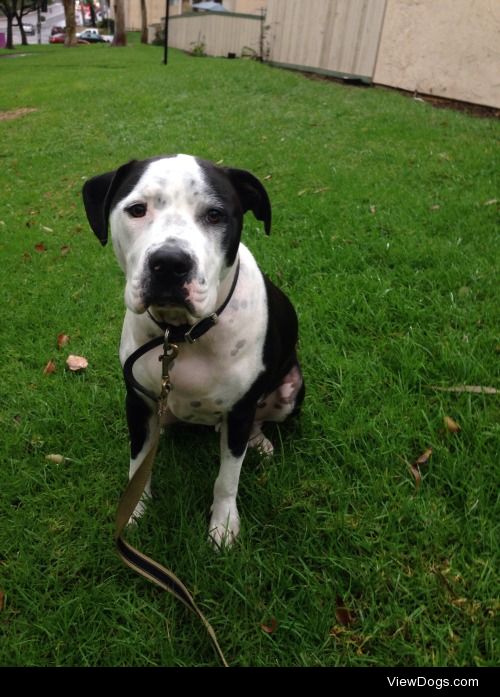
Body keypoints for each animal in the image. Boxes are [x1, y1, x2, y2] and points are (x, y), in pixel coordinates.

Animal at [83, 155, 302, 548]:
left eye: (215, 215)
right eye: (137, 209)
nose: (169, 263)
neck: (182, 333)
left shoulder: (241, 410)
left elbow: (227, 478)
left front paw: (223, 524)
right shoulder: (138, 403)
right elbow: (137, 465)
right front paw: (134, 511)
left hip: (290, 389)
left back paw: (259, 443)